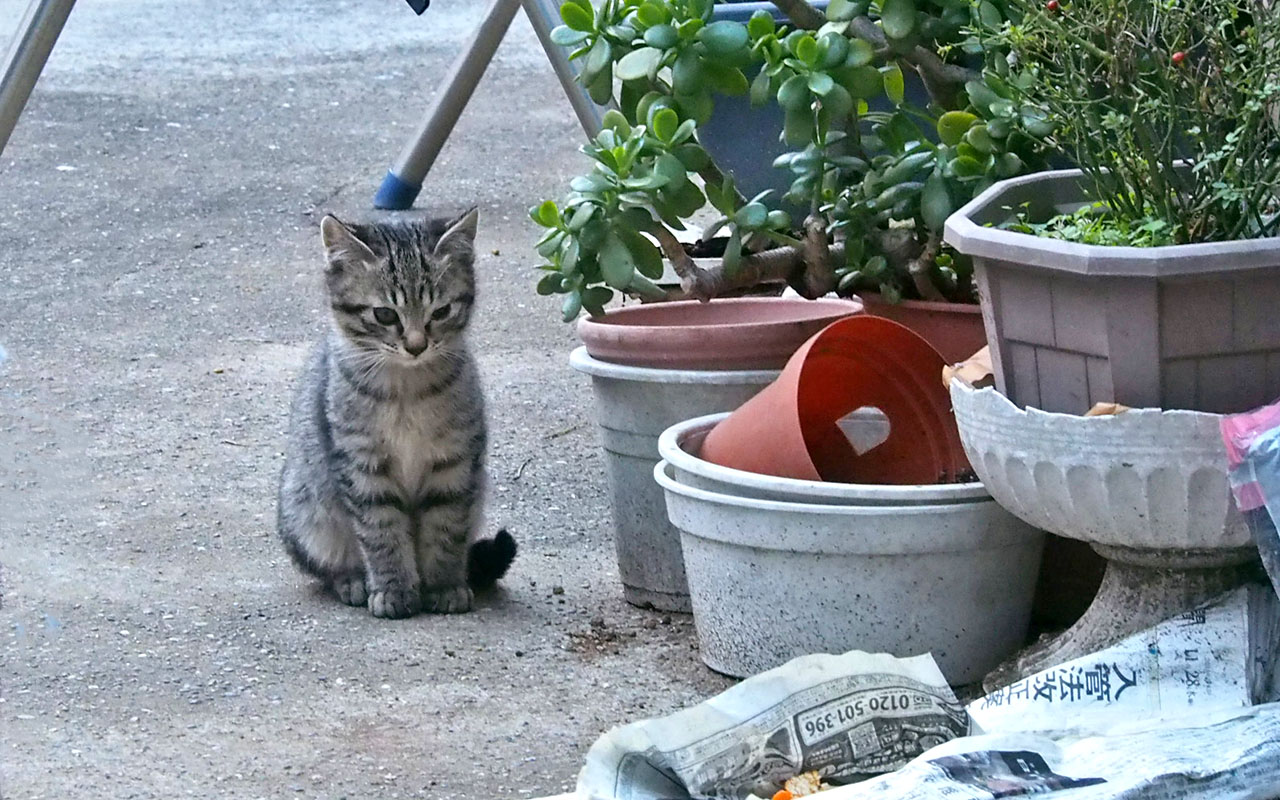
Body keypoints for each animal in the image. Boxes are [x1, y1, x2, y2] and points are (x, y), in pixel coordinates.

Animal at [279, 207, 514, 616]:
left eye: (442, 311)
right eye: (385, 315)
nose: (416, 345)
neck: (407, 390)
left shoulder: (453, 462)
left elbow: (445, 528)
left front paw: (444, 585)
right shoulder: (363, 466)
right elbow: (381, 532)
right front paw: (394, 588)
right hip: (307, 511)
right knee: (328, 564)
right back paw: (352, 581)